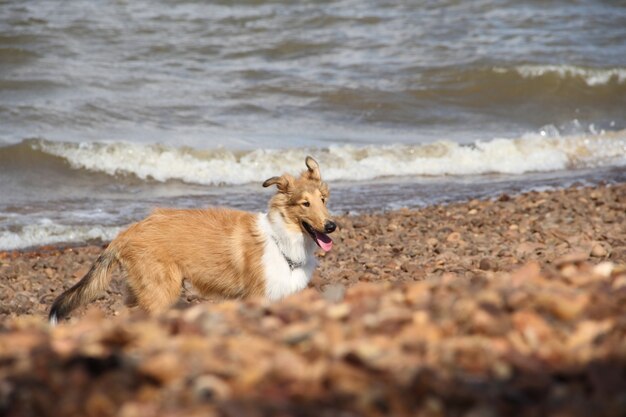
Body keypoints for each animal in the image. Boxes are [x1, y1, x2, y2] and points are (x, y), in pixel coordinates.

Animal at [48, 156, 334, 322]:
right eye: (305, 203)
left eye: (323, 200)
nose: (332, 226)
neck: (282, 241)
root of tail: (125, 232)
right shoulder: (258, 296)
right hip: (162, 291)